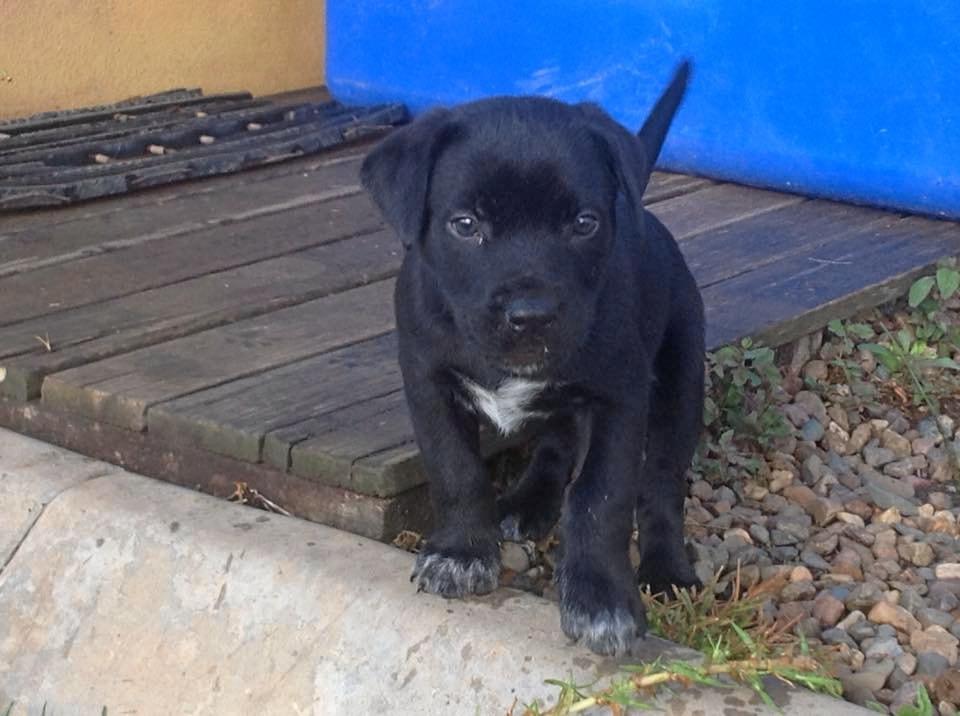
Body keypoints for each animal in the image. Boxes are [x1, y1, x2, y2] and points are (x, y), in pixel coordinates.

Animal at [364, 63, 700, 656]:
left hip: (681, 379)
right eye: (465, 225)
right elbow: (455, 468)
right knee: (556, 443)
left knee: (661, 480)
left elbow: (601, 498)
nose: (531, 314)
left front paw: (600, 599)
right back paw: (528, 501)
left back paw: (665, 569)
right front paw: (461, 553)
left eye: (585, 223)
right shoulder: (427, 381)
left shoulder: (621, 398)